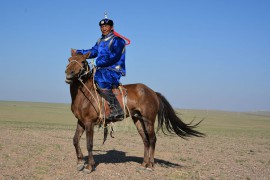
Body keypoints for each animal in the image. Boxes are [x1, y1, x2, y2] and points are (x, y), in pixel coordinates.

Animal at [65, 51, 205, 173]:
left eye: (83, 61)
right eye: (69, 59)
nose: (69, 73)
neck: (86, 94)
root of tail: (153, 92)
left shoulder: (89, 123)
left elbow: (89, 144)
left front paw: (89, 167)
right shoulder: (81, 121)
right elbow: (75, 140)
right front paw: (79, 163)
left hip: (148, 120)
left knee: (152, 139)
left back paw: (150, 166)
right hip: (138, 120)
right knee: (145, 140)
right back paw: (143, 164)